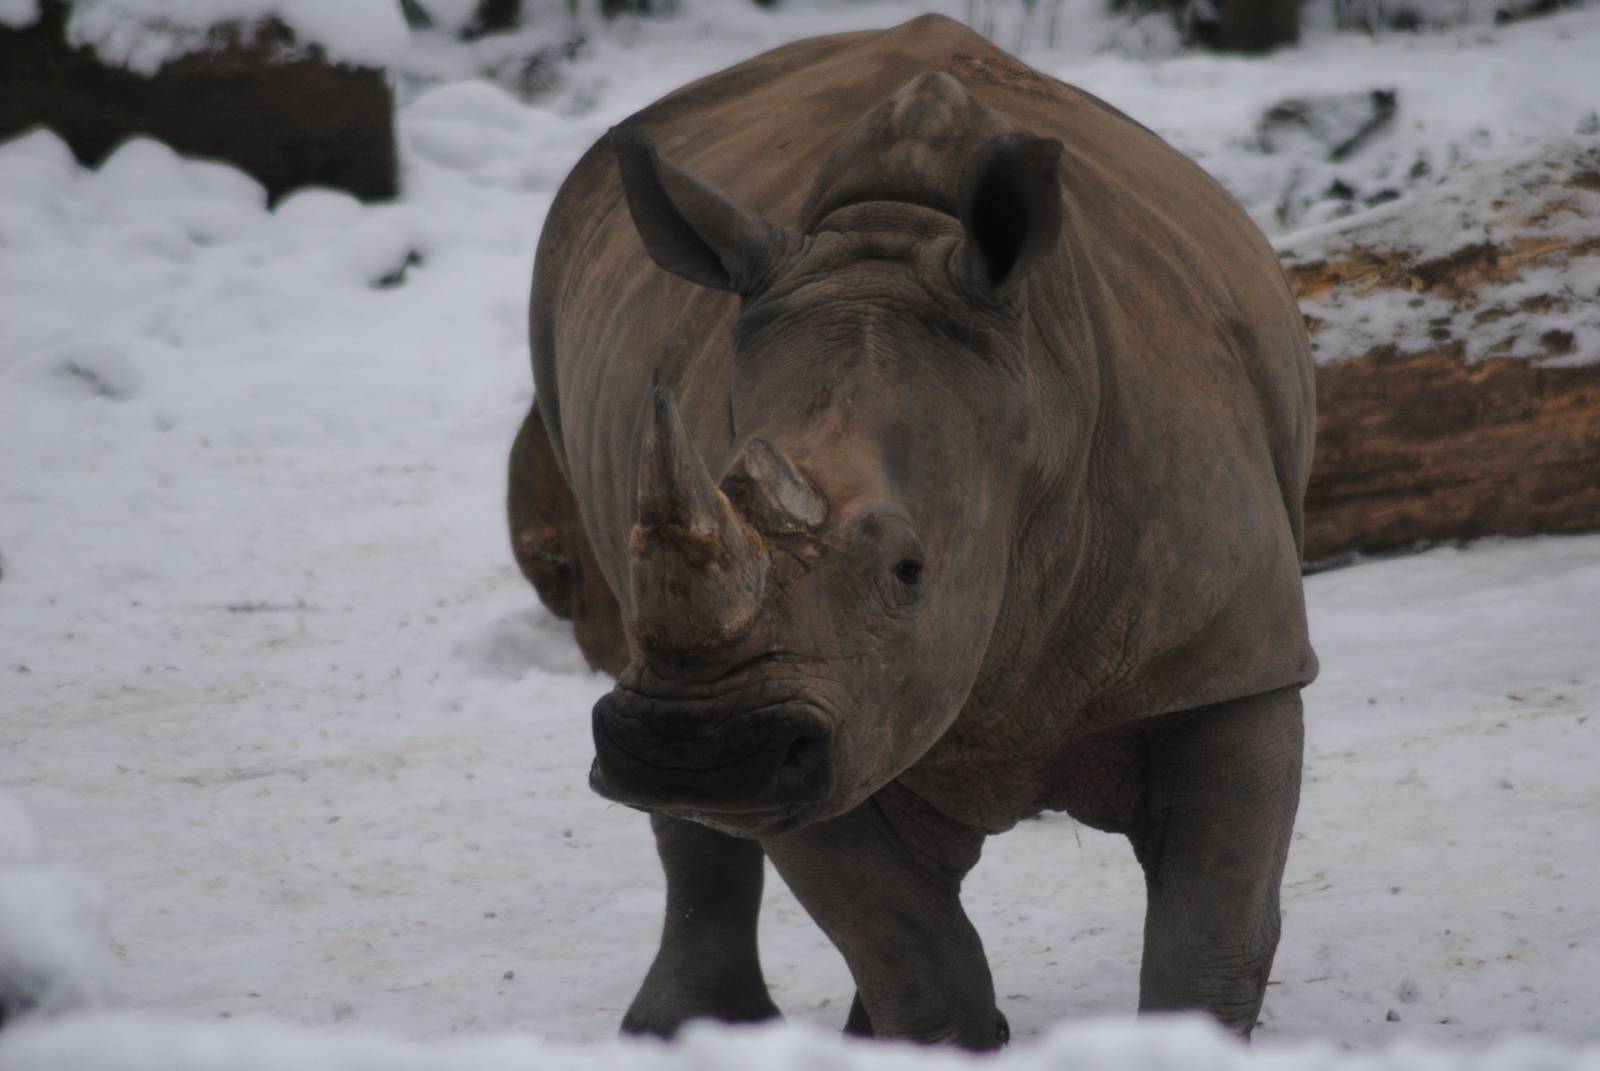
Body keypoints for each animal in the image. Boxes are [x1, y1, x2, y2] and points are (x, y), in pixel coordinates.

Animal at [507, 13, 1318, 1050]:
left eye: (909, 569)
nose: (697, 749)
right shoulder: (813, 702)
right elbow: (911, 952)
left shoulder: (1223, 660)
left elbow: (1211, 932)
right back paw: (685, 1026)